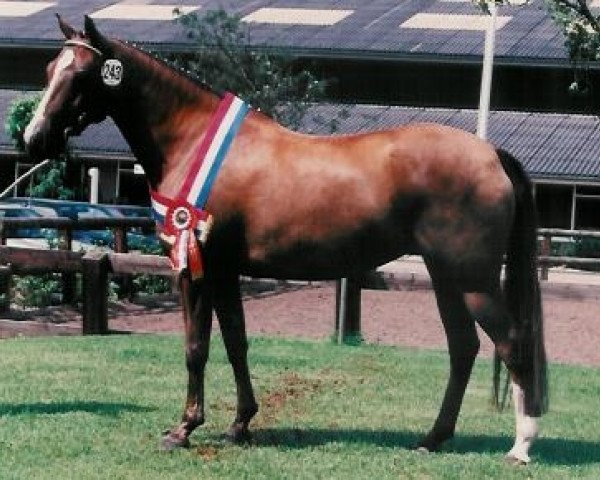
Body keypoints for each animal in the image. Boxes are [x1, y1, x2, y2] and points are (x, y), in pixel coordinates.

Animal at [23, 15, 548, 464]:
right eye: (49, 69)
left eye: (82, 75)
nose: (33, 139)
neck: (193, 140)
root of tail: (491, 153)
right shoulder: (225, 270)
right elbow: (236, 343)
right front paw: (240, 424)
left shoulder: (197, 269)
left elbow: (196, 348)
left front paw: (184, 429)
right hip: (446, 278)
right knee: (464, 349)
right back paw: (433, 438)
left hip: (473, 280)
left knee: (511, 343)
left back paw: (520, 446)